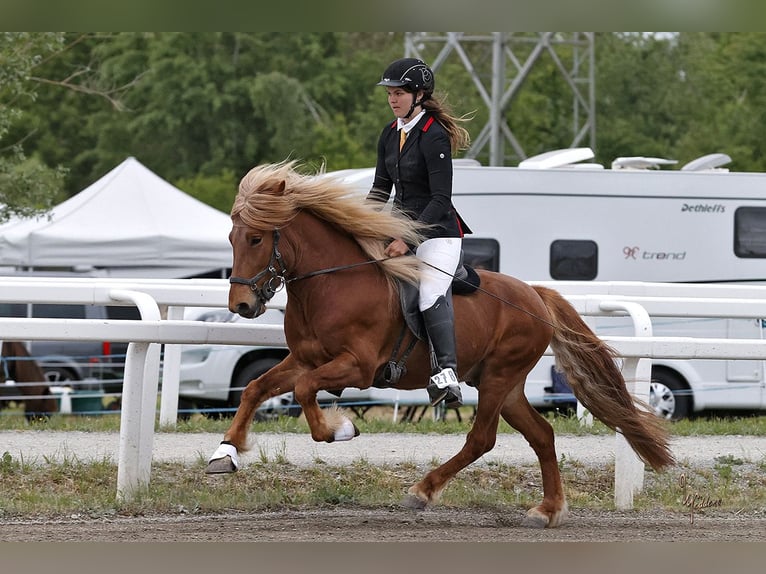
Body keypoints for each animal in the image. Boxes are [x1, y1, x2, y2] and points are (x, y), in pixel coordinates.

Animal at [206, 161, 675, 528]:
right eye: (231, 239)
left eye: (256, 239)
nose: (241, 305)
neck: (332, 284)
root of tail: (536, 294)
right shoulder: (304, 360)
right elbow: (255, 390)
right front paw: (226, 453)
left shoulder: (356, 365)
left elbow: (304, 393)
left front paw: (340, 429)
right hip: (504, 384)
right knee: (541, 435)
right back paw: (548, 510)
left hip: (500, 376)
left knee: (481, 438)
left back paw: (423, 490)